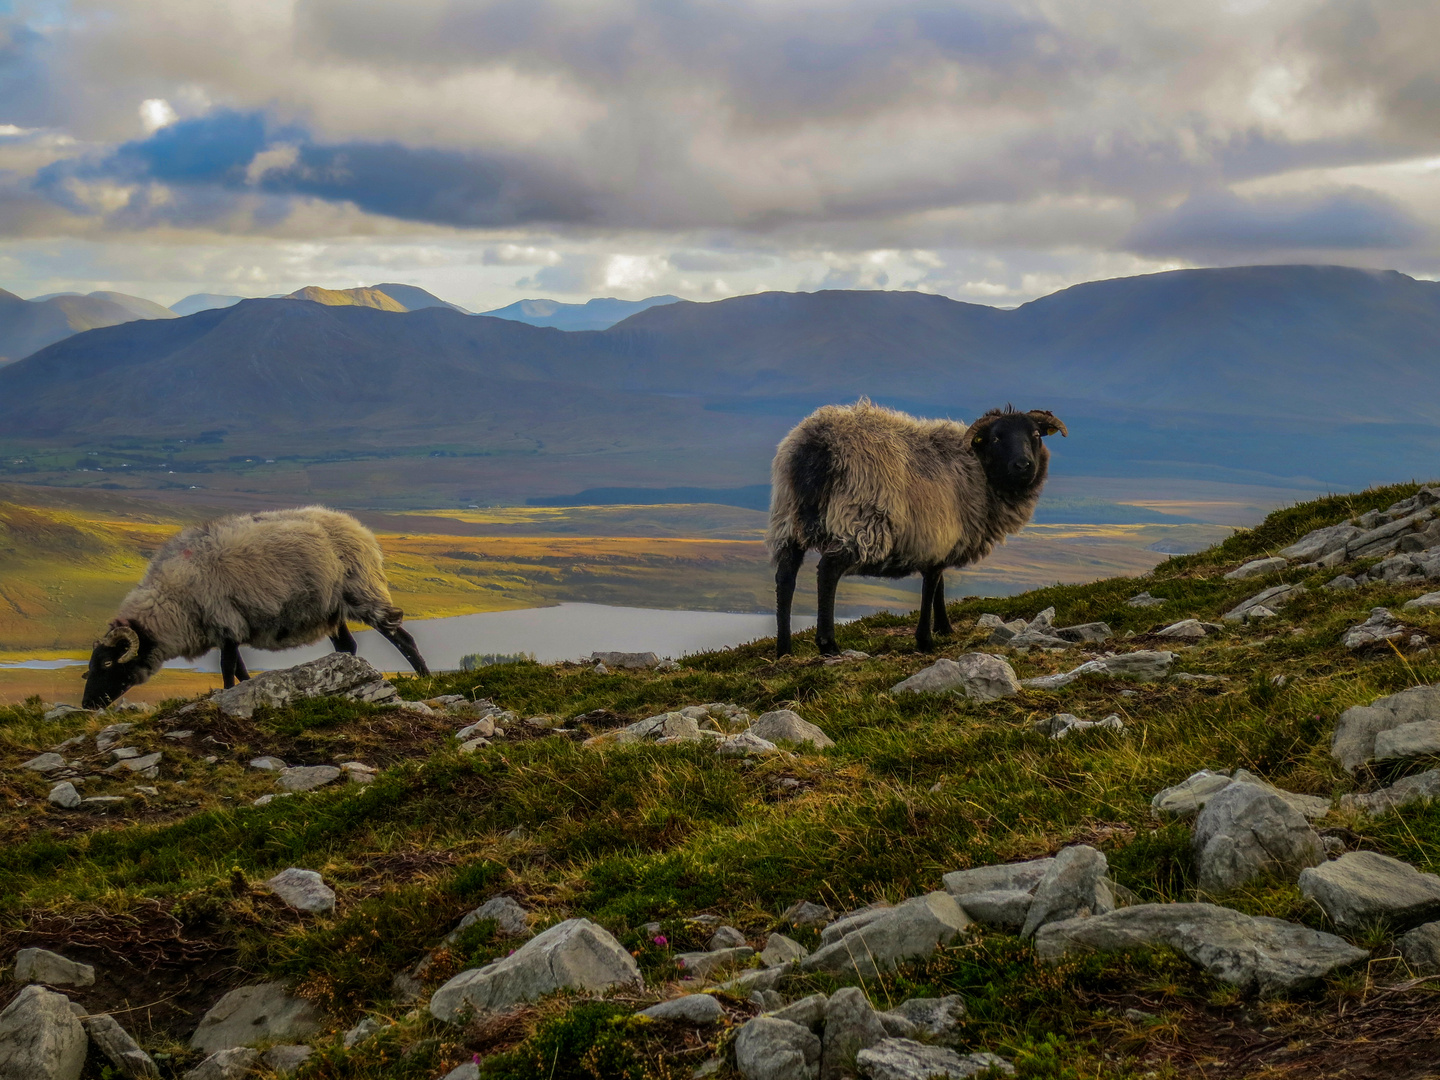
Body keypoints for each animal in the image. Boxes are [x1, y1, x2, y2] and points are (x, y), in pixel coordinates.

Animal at [82, 506, 426, 711]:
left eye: (108, 663)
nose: (87, 705)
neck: (174, 602)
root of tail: (359, 528)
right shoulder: (225, 630)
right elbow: (240, 670)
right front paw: (247, 692)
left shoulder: (226, 623)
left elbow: (227, 668)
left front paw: (226, 697)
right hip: (330, 608)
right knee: (346, 645)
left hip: (362, 592)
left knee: (402, 637)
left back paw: (424, 678)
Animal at [771, 397, 1065, 650]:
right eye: (996, 437)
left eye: (1035, 435)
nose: (1023, 465)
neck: (979, 470)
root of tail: (819, 446)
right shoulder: (937, 533)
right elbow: (930, 585)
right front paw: (925, 640)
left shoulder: (943, 537)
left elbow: (939, 585)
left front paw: (944, 628)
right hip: (860, 520)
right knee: (827, 571)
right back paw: (828, 644)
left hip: (788, 520)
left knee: (785, 577)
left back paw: (784, 649)